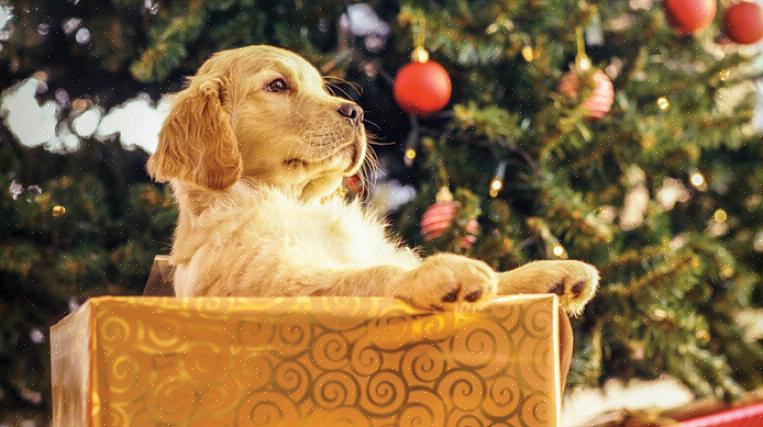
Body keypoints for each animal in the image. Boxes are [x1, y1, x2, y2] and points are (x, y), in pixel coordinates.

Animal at [145, 46, 596, 314]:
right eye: (277, 85)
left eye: (321, 87)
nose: (356, 112)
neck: (290, 198)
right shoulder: (275, 285)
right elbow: (369, 275)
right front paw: (439, 275)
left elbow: (499, 276)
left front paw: (549, 273)